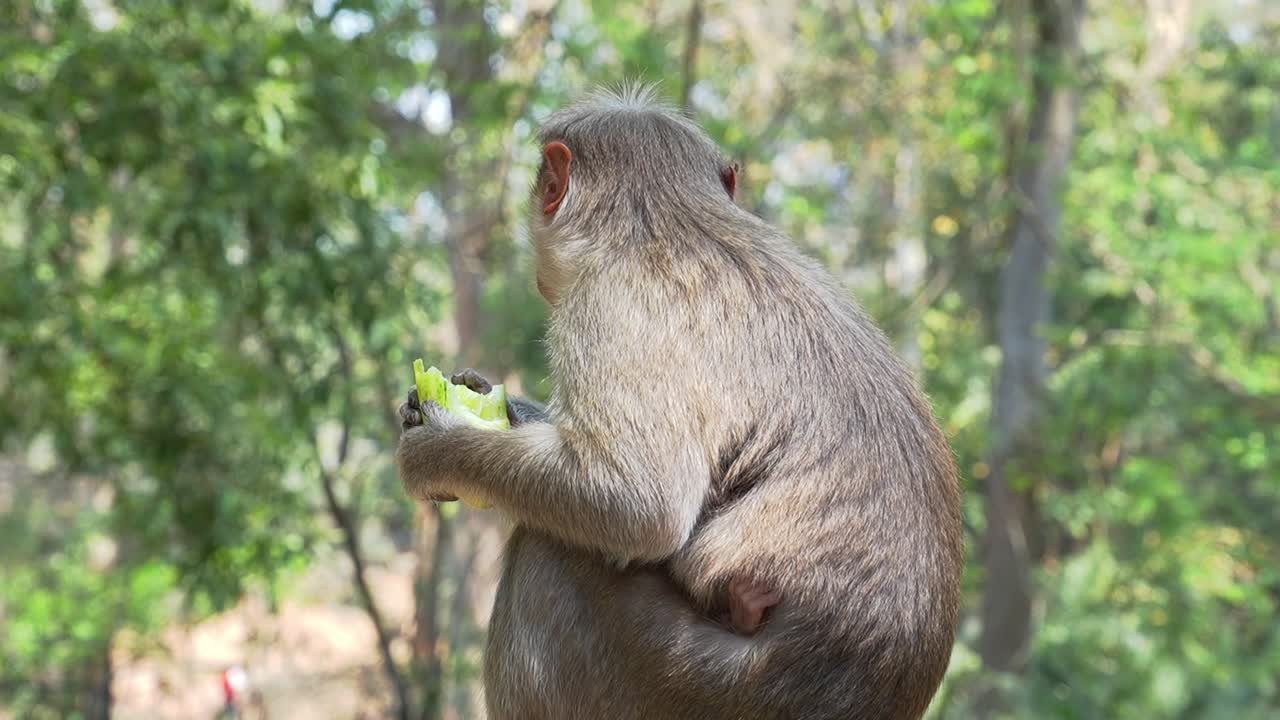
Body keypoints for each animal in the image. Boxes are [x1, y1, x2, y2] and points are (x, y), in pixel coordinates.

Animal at [397, 85, 964, 720]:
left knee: (551, 550)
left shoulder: (609, 305)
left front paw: (435, 449)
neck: (665, 223)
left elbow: (638, 503)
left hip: (683, 683)